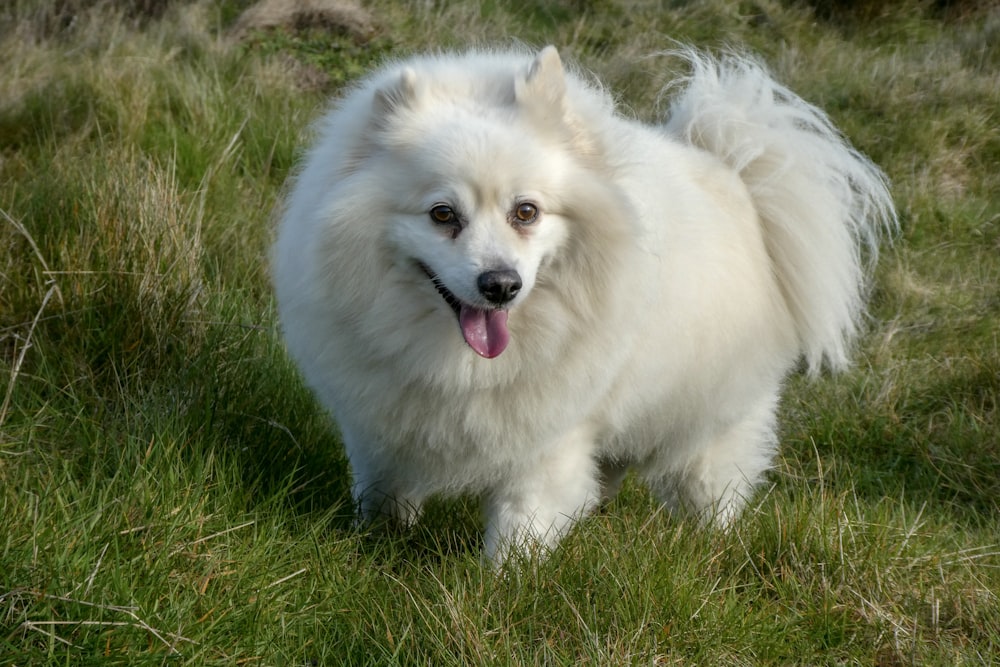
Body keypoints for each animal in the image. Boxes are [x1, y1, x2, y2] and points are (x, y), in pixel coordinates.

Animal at [270, 43, 896, 564]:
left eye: (526, 212)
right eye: (442, 214)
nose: (501, 284)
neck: (460, 362)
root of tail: (734, 176)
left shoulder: (549, 439)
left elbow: (520, 526)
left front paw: (496, 590)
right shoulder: (379, 423)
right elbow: (383, 492)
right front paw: (371, 543)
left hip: (710, 424)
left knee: (712, 488)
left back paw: (707, 547)